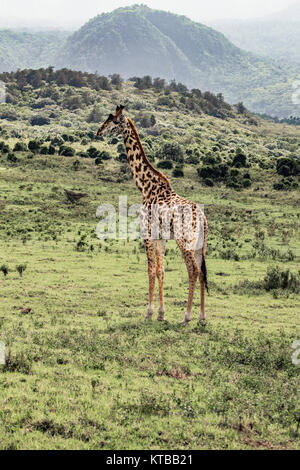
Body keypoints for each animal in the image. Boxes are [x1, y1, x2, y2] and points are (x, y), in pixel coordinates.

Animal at [96, 105, 209, 324]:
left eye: (114, 121)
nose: (98, 131)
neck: (145, 187)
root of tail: (203, 219)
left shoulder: (147, 233)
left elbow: (150, 270)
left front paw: (149, 312)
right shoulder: (160, 237)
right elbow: (160, 270)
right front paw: (161, 313)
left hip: (184, 240)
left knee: (192, 270)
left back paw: (187, 316)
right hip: (201, 244)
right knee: (201, 272)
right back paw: (201, 316)